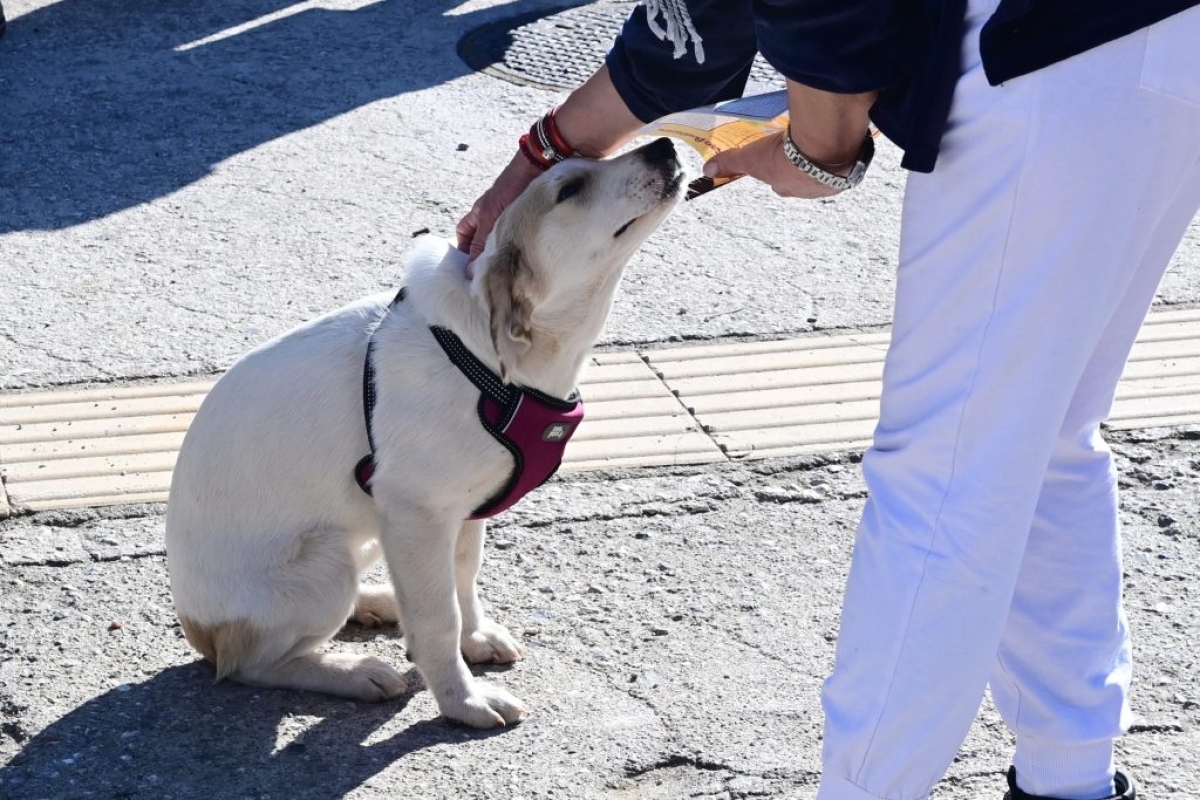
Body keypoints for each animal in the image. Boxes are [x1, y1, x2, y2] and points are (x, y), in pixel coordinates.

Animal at [165, 139, 686, 734]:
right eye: (571, 188)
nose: (664, 145)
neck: (488, 356)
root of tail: (197, 629)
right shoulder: (418, 514)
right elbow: (438, 619)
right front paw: (464, 702)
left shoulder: (462, 511)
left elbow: (462, 582)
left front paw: (474, 639)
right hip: (323, 566)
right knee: (249, 662)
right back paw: (353, 671)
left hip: (366, 540)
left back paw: (381, 602)